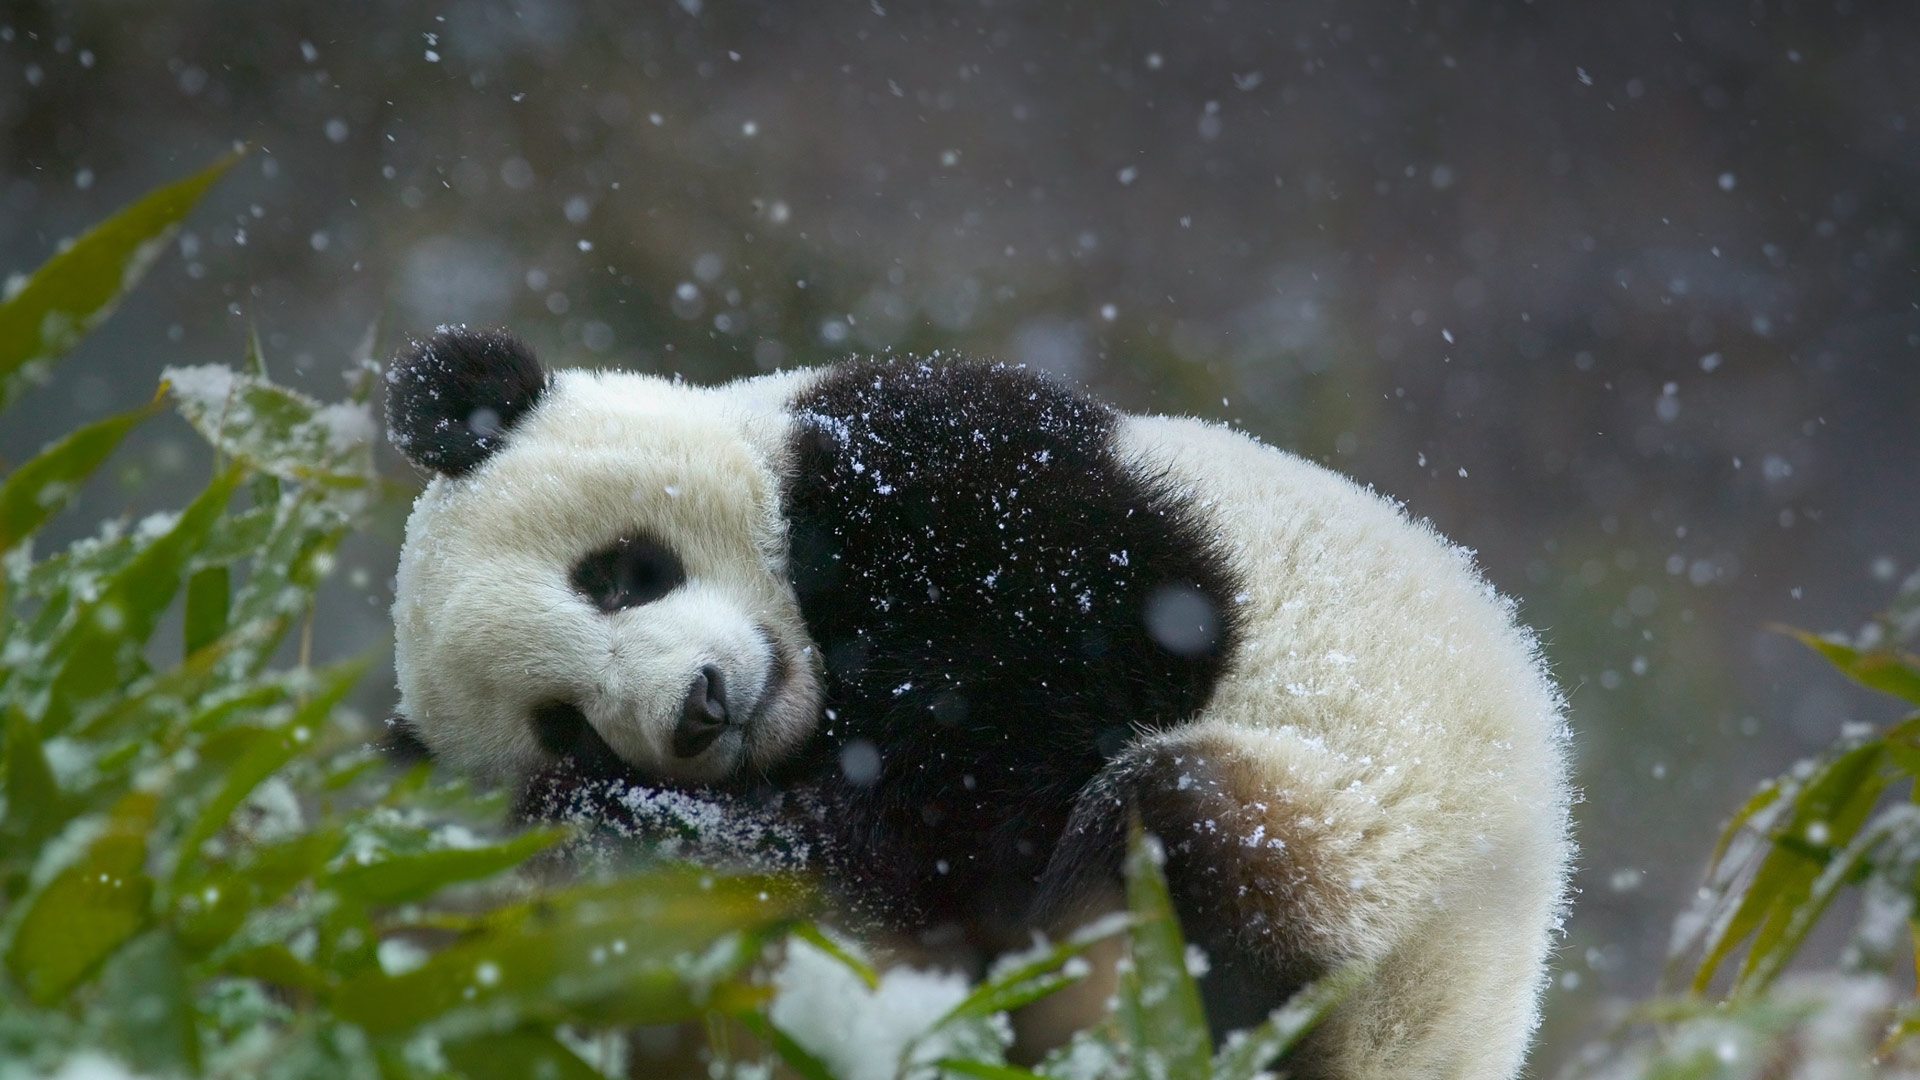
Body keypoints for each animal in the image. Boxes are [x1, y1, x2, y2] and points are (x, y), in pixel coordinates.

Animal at [382, 322, 1566, 1068]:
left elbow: (1053, 689)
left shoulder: (950, 470)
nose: (700, 710)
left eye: (621, 574)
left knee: (1183, 837)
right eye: (566, 724)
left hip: (1373, 842)